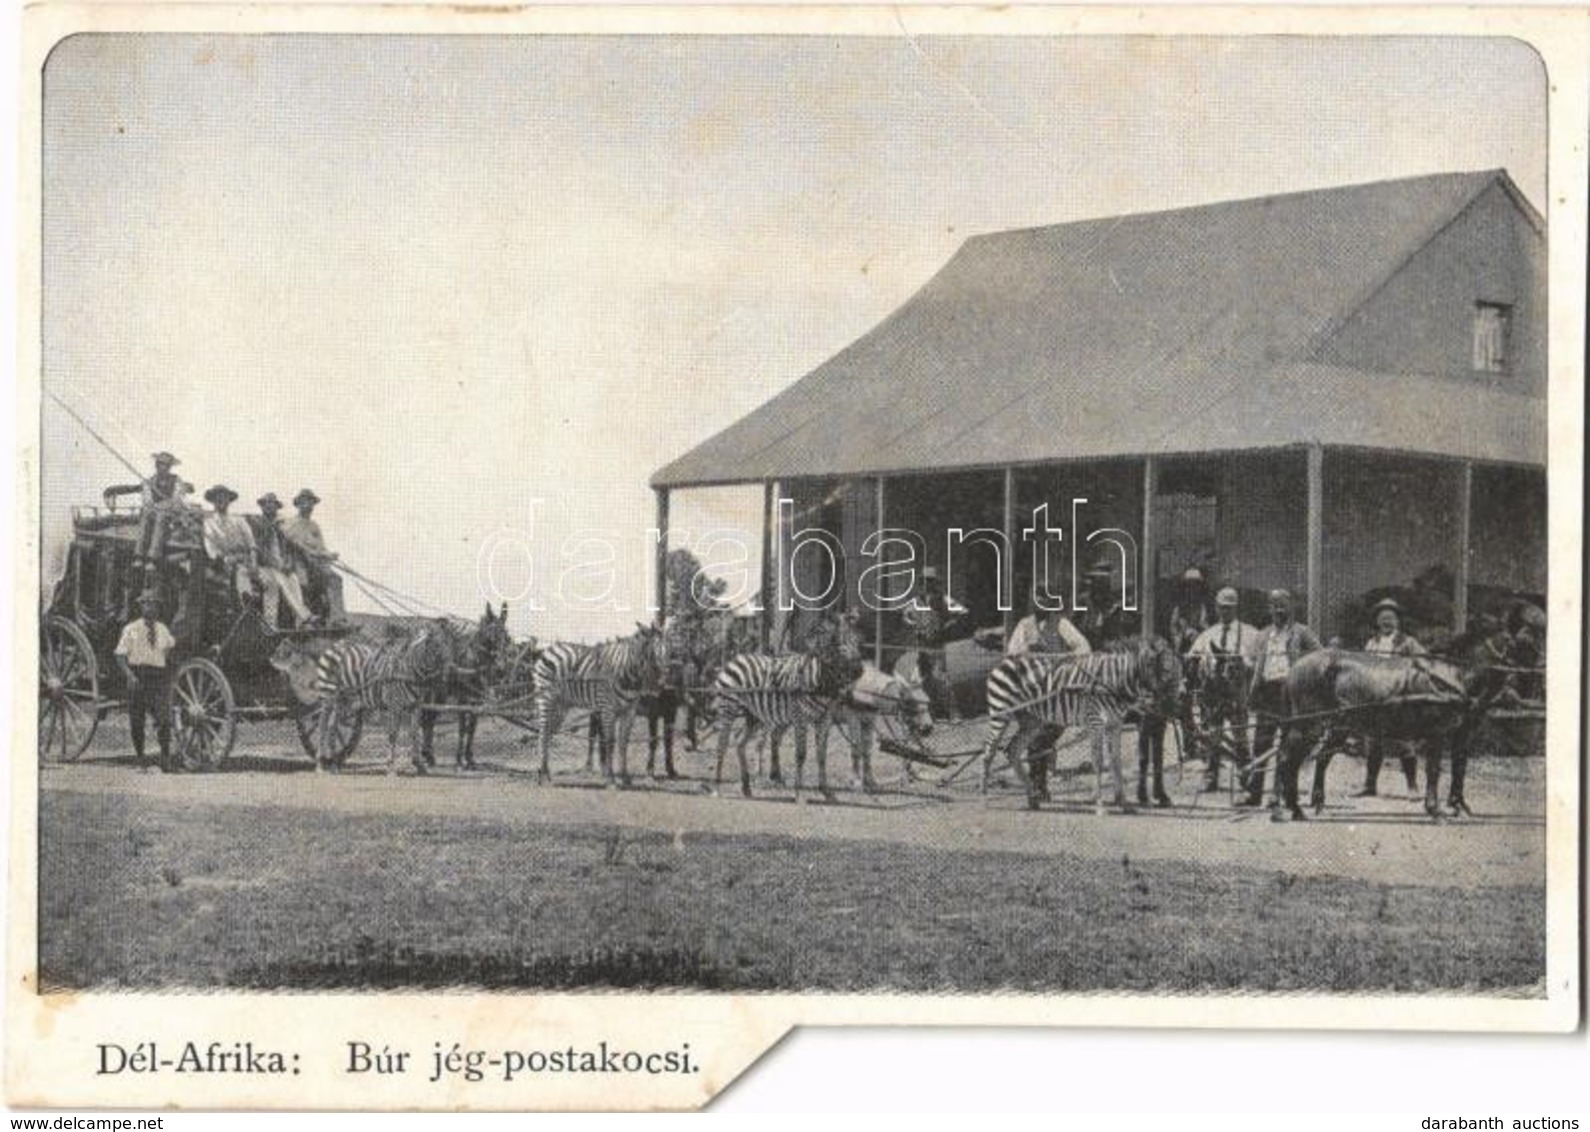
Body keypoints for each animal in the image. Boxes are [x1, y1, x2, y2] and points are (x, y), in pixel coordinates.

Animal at [311, 623, 457, 772]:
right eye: (436, 646)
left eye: (450, 645)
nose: (449, 674)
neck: (408, 670)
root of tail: (335, 645)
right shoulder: (395, 705)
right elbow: (393, 733)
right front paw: (391, 766)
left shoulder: (416, 706)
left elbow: (414, 733)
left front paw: (418, 764)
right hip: (328, 694)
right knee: (322, 725)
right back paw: (320, 763)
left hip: (343, 699)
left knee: (332, 726)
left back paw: (333, 763)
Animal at [531, 620, 661, 788]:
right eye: (648, 652)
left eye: (667, 651)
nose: (658, 686)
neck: (624, 674)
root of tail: (549, 649)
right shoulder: (607, 710)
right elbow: (609, 742)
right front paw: (611, 779)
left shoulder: (629, 711)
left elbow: (623, 743)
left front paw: (625, 778)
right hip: (546, 698)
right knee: (542, 733)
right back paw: (541, 776)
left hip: (560, 706)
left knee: (547, 732)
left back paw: (546, 774)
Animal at [712, 610, 864, 804]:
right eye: (838, 643)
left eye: (857, 641)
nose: (859, 671)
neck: (820, 680)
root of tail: (737, 657)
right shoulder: (800, 717)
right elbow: (801, 754)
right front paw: (799, 794)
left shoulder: (824, 720)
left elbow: (822, 755)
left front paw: (826, 792)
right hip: (728, 708)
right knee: (722, 744)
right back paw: (716, 788)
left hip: (753, 715)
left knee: (739, 741)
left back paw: (746, 787)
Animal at [973, 635, 1189, 814]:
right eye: (1167, 670)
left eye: (1181, 669)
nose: (1179, 704)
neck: (1114, 681)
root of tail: (1003, 661)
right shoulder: (1096, 722)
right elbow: (1099, 761)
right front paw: (1100, 805)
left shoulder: (1115, 724)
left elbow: (1117, 761)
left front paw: (1124, 803)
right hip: (1001, 712)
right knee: (989, 751)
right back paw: (985, 800)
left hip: (1032, 720)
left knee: (1013, 750)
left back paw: (1033, 797)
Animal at [1265, 620, 1526, 820]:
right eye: (1521, 644)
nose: (1517, 694)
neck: (1452, 674)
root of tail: (1295, 668)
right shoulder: (1437, 732)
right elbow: (1433, 770)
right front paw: (1435, 810)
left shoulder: (1462, 733)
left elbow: (1459, 766)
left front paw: (1458, 806)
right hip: (1308, 724)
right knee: (1287, 757)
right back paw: (1289, 809)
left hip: (1338, 726)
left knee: (1318, 758)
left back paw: (1307, 804)